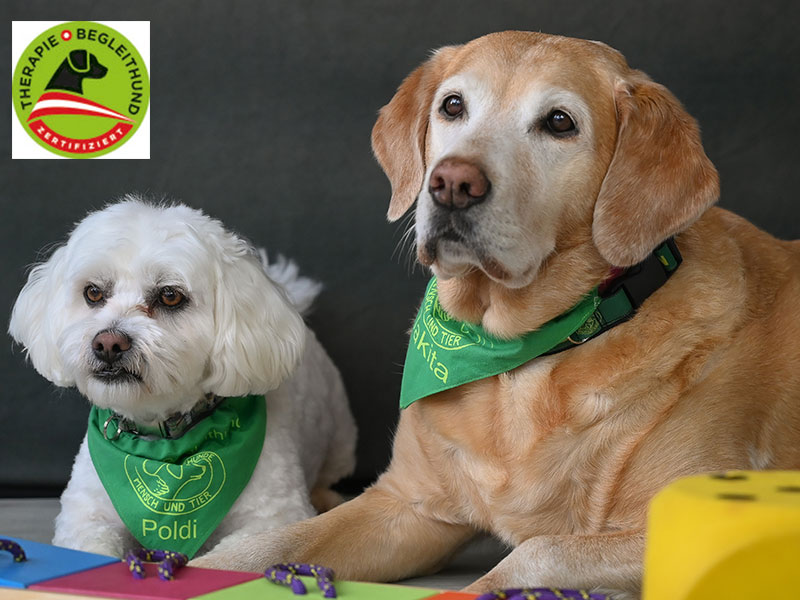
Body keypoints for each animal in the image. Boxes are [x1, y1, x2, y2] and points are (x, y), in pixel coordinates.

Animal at [7, 199, 354, 560]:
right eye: (93, 292)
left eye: (170, 296)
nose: (108, 344)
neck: (163, 438)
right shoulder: (85, 515)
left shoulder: (276, 516)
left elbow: (233, 555)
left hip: (341, 436)